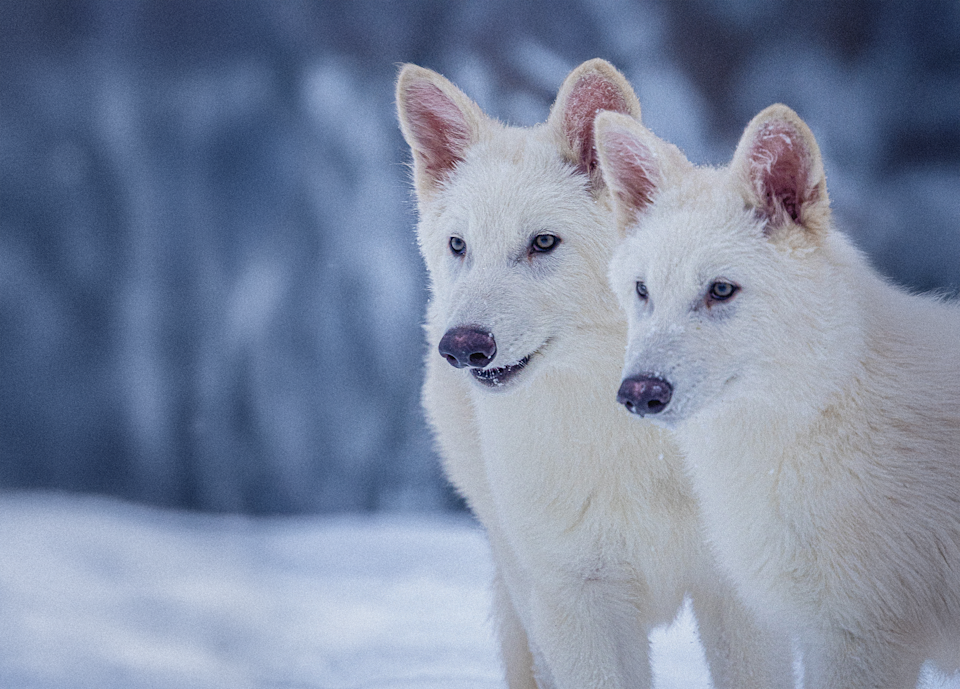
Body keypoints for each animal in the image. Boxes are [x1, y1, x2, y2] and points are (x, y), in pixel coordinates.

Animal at [396, 60, 792, 688]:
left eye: (543, 242)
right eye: (459, 245)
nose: (462, 347)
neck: (630, 441)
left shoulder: (739, 599)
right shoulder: (576, 605)